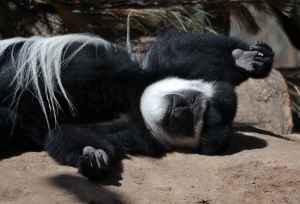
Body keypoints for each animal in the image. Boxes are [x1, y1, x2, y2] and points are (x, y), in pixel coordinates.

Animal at [0, 33, 274, 178]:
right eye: (194, 103)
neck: (136, 104)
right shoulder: (158, 67)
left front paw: (92, 156)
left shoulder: (128, 130)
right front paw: (247, 59)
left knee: (9, 119)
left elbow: (69, 134)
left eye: (191, 124)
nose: (180, 110)